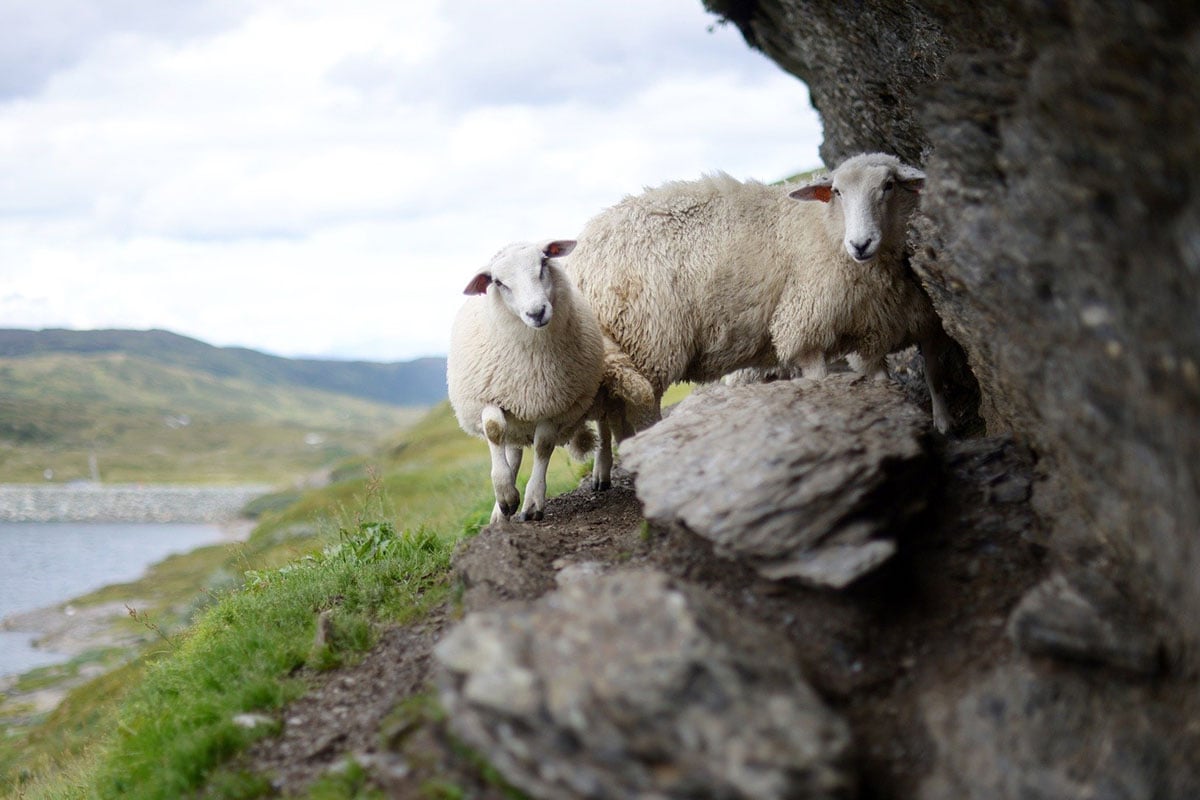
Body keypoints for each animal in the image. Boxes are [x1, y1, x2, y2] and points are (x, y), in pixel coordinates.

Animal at [446, 237, 604, 525]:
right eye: (498, 282)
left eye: (543, 263)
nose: (536, 312)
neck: (532, 363)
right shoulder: (489, 395)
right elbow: (494, 430)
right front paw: (506, 494)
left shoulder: (554, 405)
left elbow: (543, 446)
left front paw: (532, 501)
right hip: (515, 414)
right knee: (511, 448)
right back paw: (500, 511)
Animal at [566, 154, 950, 482]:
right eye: (837, 192)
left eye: (889, 185)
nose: (860, 244)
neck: (828, 228)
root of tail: (580, 258)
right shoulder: (805, 326)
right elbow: (821, 384)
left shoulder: (892, 327)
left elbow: (926, 376)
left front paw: (937, 426)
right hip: (648, 342)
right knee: (638, 414)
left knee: (612, 412)